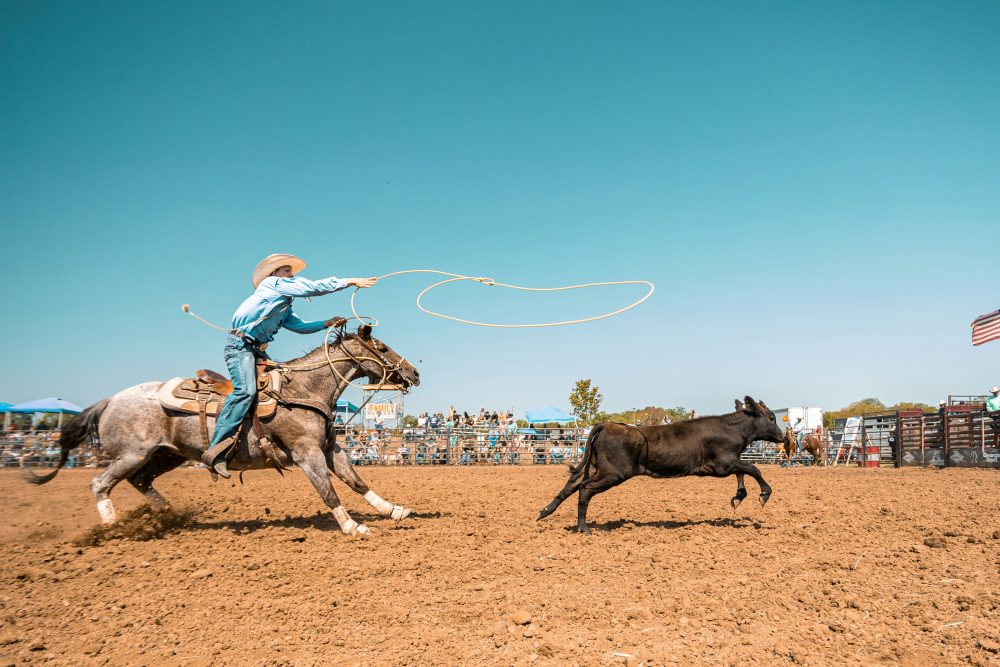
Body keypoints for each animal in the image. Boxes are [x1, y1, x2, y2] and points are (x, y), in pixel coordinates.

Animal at [537, 396, 786, 533]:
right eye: (772, 418)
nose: (784, 437)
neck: (730, 428)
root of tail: (607, 425)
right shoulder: (723, 465)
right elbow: (753, 468)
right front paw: (764, 494)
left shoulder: (731, 462)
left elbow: (743, 473)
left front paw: (738, 497)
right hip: (613, 473)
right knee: (584, 489)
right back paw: (583, 527)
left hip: (597, 468)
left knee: (571, 484)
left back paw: (543, 512)